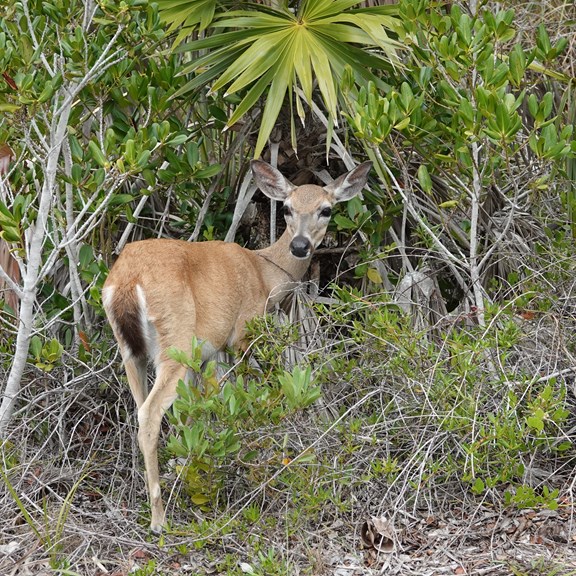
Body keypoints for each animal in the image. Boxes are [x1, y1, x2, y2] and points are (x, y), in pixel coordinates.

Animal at [102, 159, 374, 536]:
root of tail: (128, 281)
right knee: (150, 412)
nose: (300, 246)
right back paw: (159, 519)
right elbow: (242, 394)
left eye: (326, 209)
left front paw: (191, 462)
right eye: (287, 208)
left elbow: (197, 411)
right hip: (175, 341)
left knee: (139, 407)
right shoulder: (241, 332)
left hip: (132, 350)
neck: (265, 275)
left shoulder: (208, 353)